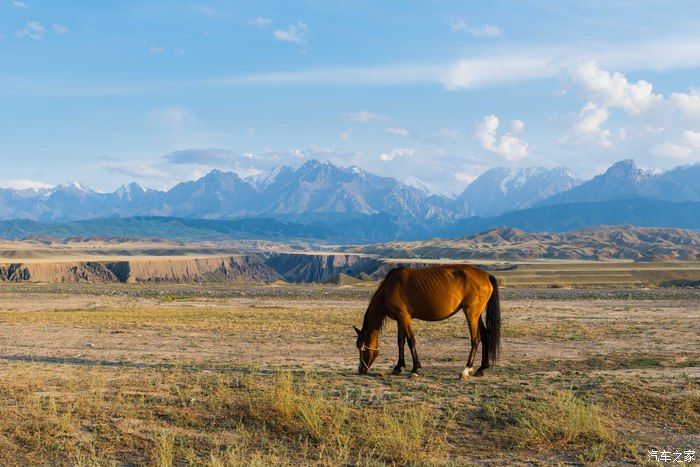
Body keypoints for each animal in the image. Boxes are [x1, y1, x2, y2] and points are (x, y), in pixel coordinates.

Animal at [352, 266, 500, 378]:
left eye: (362, 347)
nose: (361, 369)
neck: (390, 287)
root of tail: (487, 276)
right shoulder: (400, 319)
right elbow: (401, 342)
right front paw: (398, 367)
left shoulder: (404, 316)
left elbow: (411, 341)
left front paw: (415, 369)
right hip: (477, 315)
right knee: (485, 336)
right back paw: (481, 369)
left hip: (471, 314)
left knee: (476, 339)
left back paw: (466, 369)